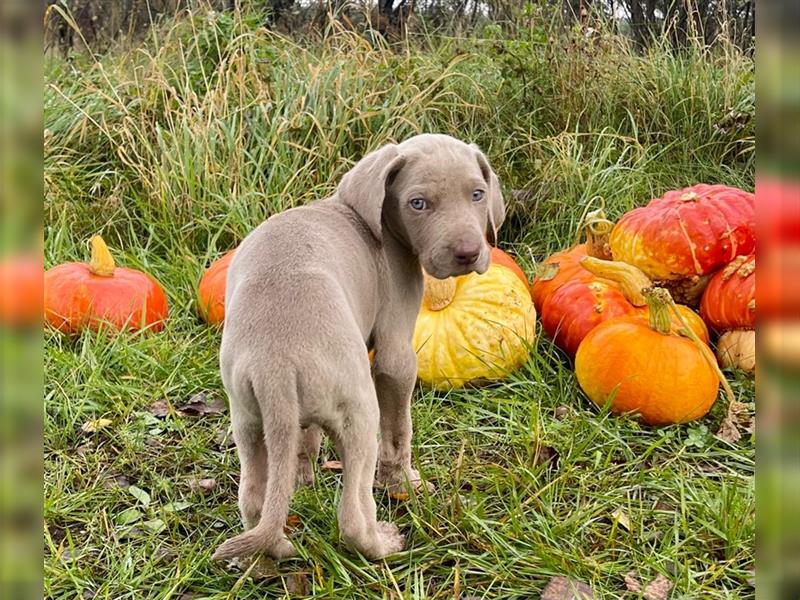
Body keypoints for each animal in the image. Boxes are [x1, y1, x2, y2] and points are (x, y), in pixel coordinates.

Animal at [212, 134, 506, 560]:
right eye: (418, 203)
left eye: (477, 194)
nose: (468, 254)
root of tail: (275, 364)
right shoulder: (396, 355)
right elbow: (399, 429)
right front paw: (404, 484)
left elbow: (303, 440)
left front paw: (302, 476)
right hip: (359, 411)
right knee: (351, 514)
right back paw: (383, 543)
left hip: (249, 418)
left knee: (253, 500)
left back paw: (275, 550)